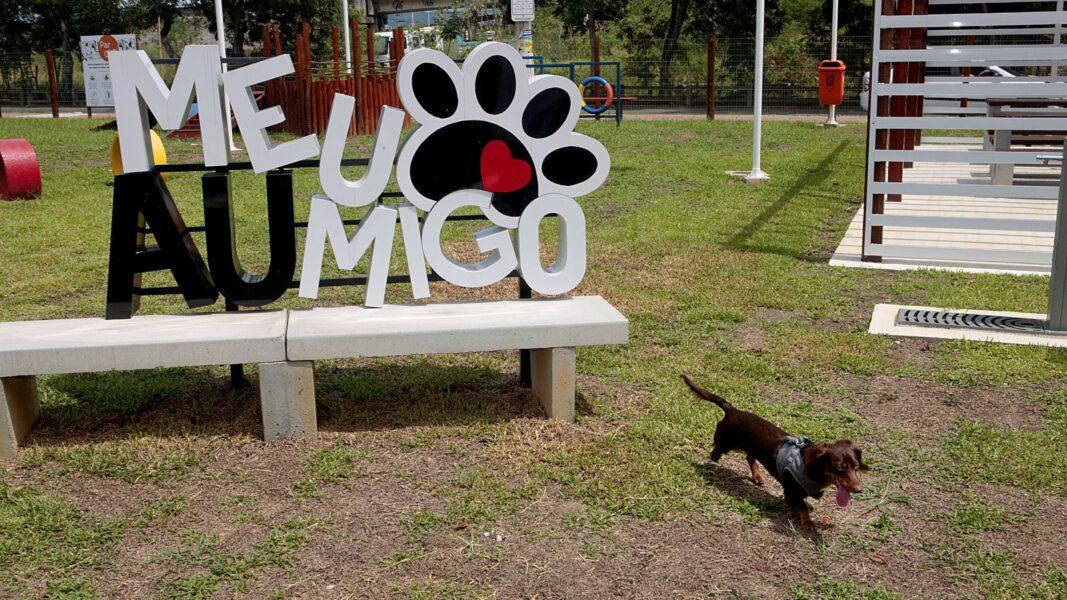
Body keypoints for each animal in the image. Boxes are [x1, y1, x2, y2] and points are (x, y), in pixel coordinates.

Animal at [682, 373, 866, 527]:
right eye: (840, 467)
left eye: (856, 466)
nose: (859, 490)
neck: (812, 471)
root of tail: (732, 410)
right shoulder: (791, 492)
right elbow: (802, 508)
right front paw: (808, 523)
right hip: (729, 444)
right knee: (718, 449)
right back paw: (715, 456)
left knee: (749, 458)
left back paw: (757, 476)